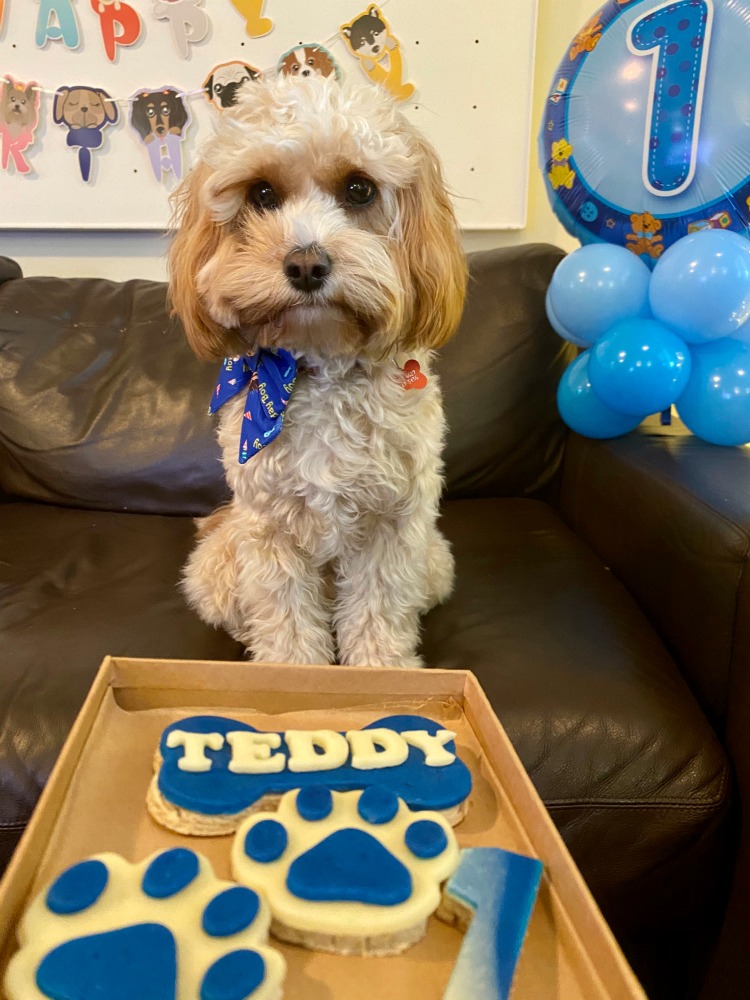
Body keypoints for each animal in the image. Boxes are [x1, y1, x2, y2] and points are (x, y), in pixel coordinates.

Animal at [167, 78, 468, 668]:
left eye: (359, 189)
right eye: (262, 194)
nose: (306, 265)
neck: (322, 364)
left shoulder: (395, 523)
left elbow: (378, 610)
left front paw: (382, 671)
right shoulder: (269, 527)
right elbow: (285, 617)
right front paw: (291, 673)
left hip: (434, 560)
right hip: (217, 566)